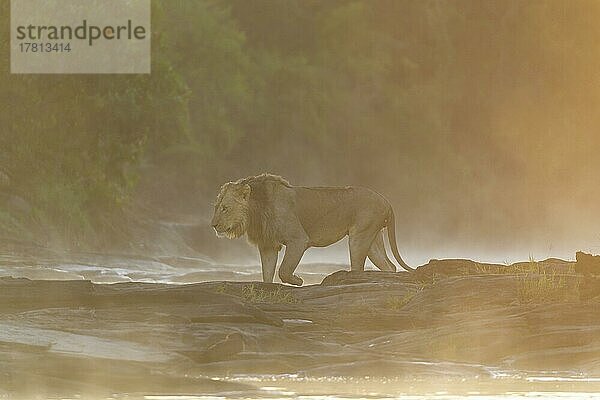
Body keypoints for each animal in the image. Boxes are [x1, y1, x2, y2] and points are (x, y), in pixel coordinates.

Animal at [213, 173, 414, 286]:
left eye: (225, 208)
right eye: (216, 207)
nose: (213, 225)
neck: (256, 211)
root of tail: (386, 201)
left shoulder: (298, 240)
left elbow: (284, 269)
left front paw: (298, 280)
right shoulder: (268, 245)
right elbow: (267, 273)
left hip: (359, 237)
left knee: (358, 267)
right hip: (373, 238)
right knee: (389, 266)